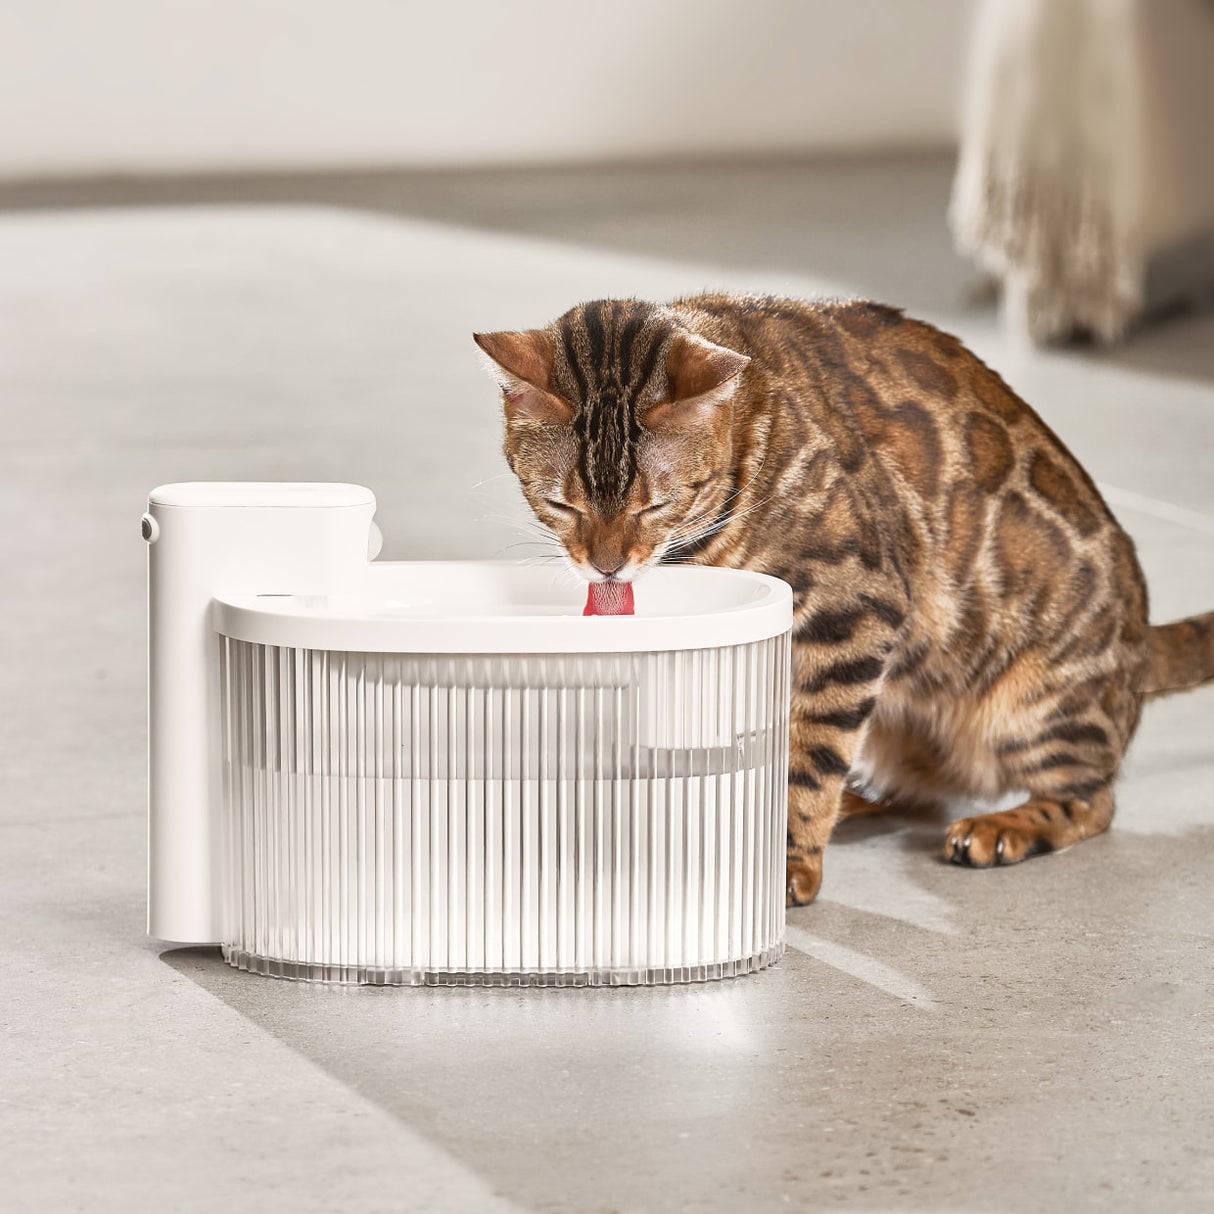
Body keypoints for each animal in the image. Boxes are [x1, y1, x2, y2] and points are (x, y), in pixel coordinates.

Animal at [471, 296, 1214, 903]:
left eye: (655, 503)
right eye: (560, 503)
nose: (607, 563)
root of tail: (1142, 640)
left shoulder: (853, 611)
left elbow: (809, 757)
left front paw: (785, 862)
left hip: (1037, 704)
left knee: (1091, 797)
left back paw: (1002, 825)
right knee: (912, 791)